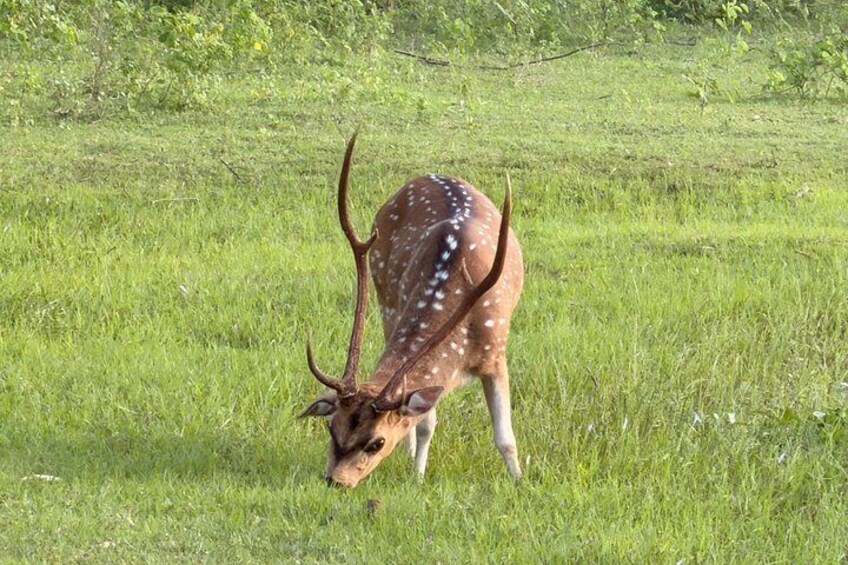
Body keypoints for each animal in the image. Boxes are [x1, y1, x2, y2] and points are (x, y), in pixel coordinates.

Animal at [299, 133, 524, 488]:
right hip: (387, 302)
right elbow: (425, 423)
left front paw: (518, 480)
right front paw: (418, 474)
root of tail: (426, 176)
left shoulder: (495, 351)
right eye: (331, 427)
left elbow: (505, 437)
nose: (336, 480)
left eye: (376, 442)